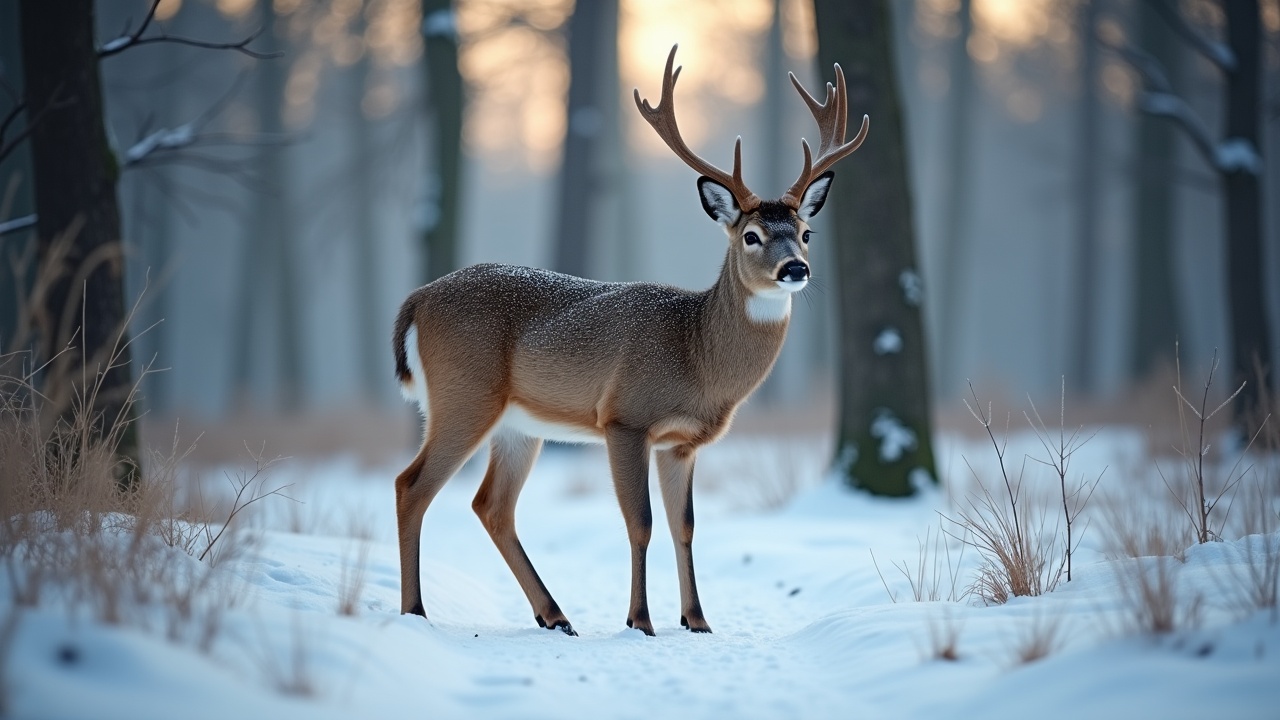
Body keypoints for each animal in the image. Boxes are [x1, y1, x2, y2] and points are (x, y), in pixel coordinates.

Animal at [389, 44, 870, 632]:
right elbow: (639, 522)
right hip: (463, 395)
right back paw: (416, 610)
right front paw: (640, 620)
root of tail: (416, 301)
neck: (696, 354)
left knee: (491, 505)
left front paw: (697, 621)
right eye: (752, 236)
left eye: (805, 232)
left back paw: (555, 616)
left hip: (518, 424)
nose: (795, 269)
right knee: (411, 485)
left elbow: (684, 526)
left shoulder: (681, 442)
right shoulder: (625, 417)